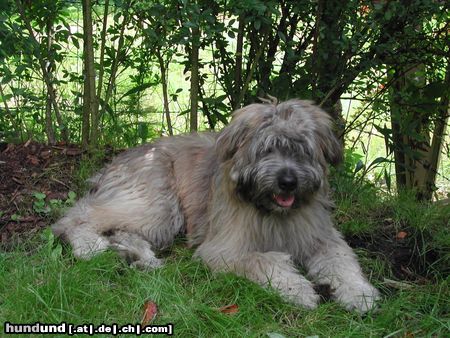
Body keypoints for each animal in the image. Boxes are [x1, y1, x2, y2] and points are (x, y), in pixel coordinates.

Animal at [51, 99, 380, 312]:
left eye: (302, 150)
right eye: (267, 149)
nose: (288, 181)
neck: (272, 212)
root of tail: (120, 159)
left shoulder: (320, 236)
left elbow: (342, 260)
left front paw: (359, 294)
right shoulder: (224, 248)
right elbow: (264, 261)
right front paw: (298, 290)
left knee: (122, 231)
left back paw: (140, 257)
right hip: (157, 203)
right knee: (76, 216)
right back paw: (88, 246)